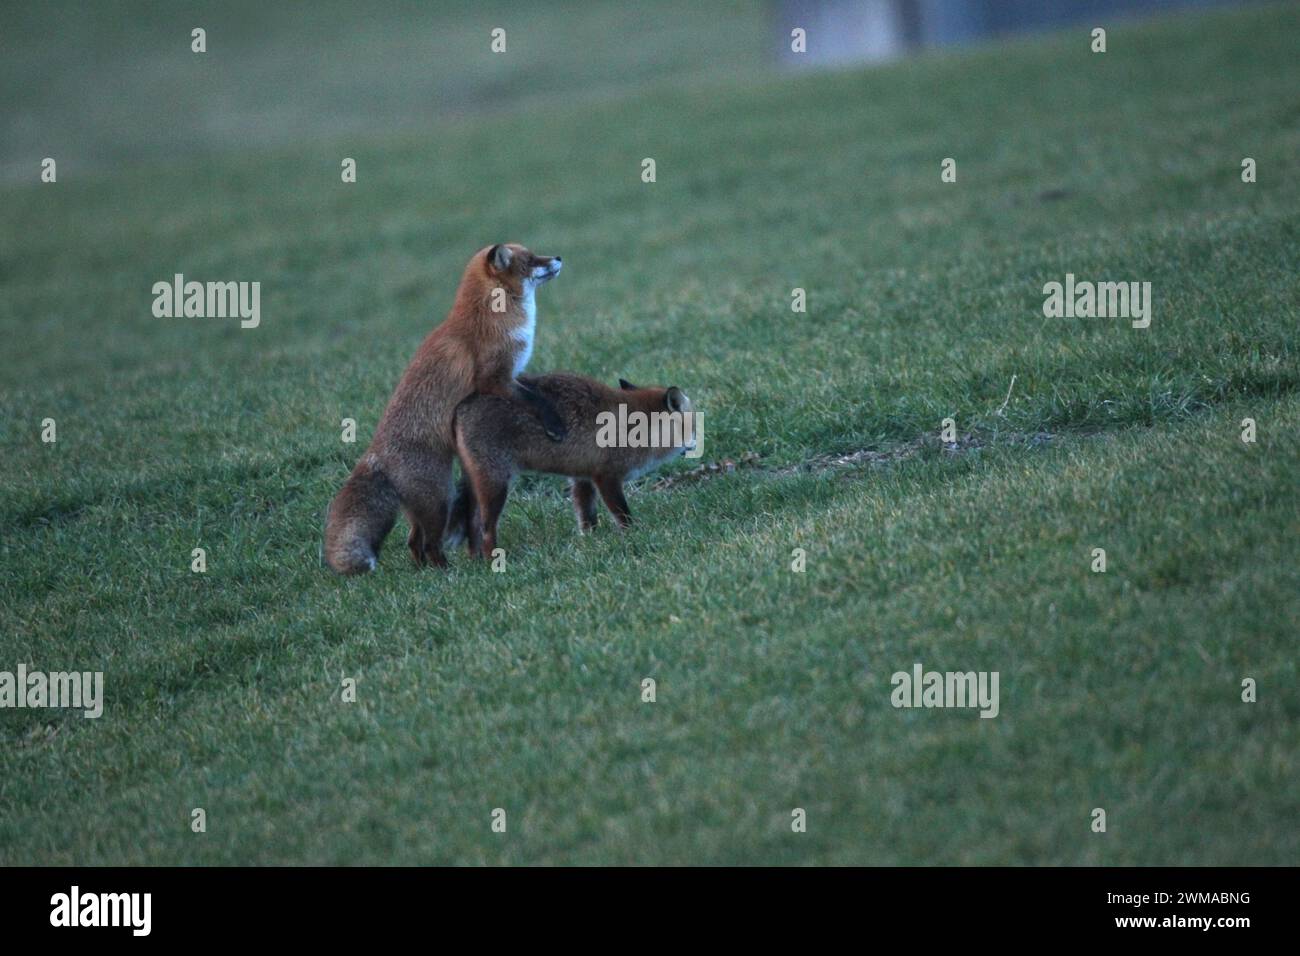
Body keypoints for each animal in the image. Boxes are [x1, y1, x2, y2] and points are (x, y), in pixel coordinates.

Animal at [325, 244, 564, 574]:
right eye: (529, 260)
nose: (558, 258)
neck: (494, 316)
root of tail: (375, 454)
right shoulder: (494, 378)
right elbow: (535, 399)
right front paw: (555, 423)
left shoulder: (508, 377)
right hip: (440, 499)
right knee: (429, 543)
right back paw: (446, 572)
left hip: (428, 505)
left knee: (414, 542)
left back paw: (427, 571)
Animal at [449, 369, 696, 556]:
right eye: (694, 426)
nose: (696, 445)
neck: (637, 428)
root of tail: (460, 407)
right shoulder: (606, 476)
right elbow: (621, 513)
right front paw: (632, 533)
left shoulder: (582, 476)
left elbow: (585, 514)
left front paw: (590, 540)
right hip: (496, 485)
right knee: (486, 528)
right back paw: (494, 560)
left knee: (472, 526)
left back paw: (476, 561)